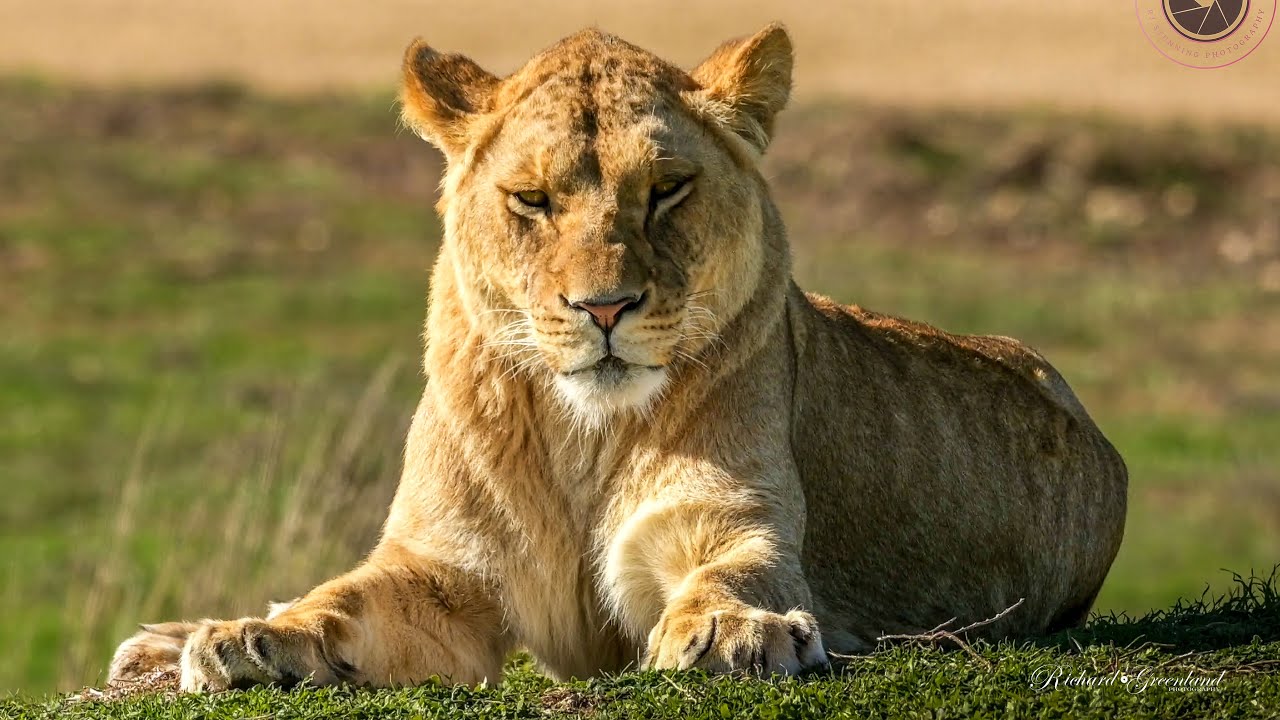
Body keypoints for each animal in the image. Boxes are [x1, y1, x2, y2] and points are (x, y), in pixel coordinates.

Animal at [108, 23, 1127, 691]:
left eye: (667, 189)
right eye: (532, 199)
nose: (604, 307)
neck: (581, 437)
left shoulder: (727, 519)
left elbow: (735, 571)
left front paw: (734, 631)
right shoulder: (441, 573)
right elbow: (335, 600)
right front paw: (251, 639)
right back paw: (169, 642)